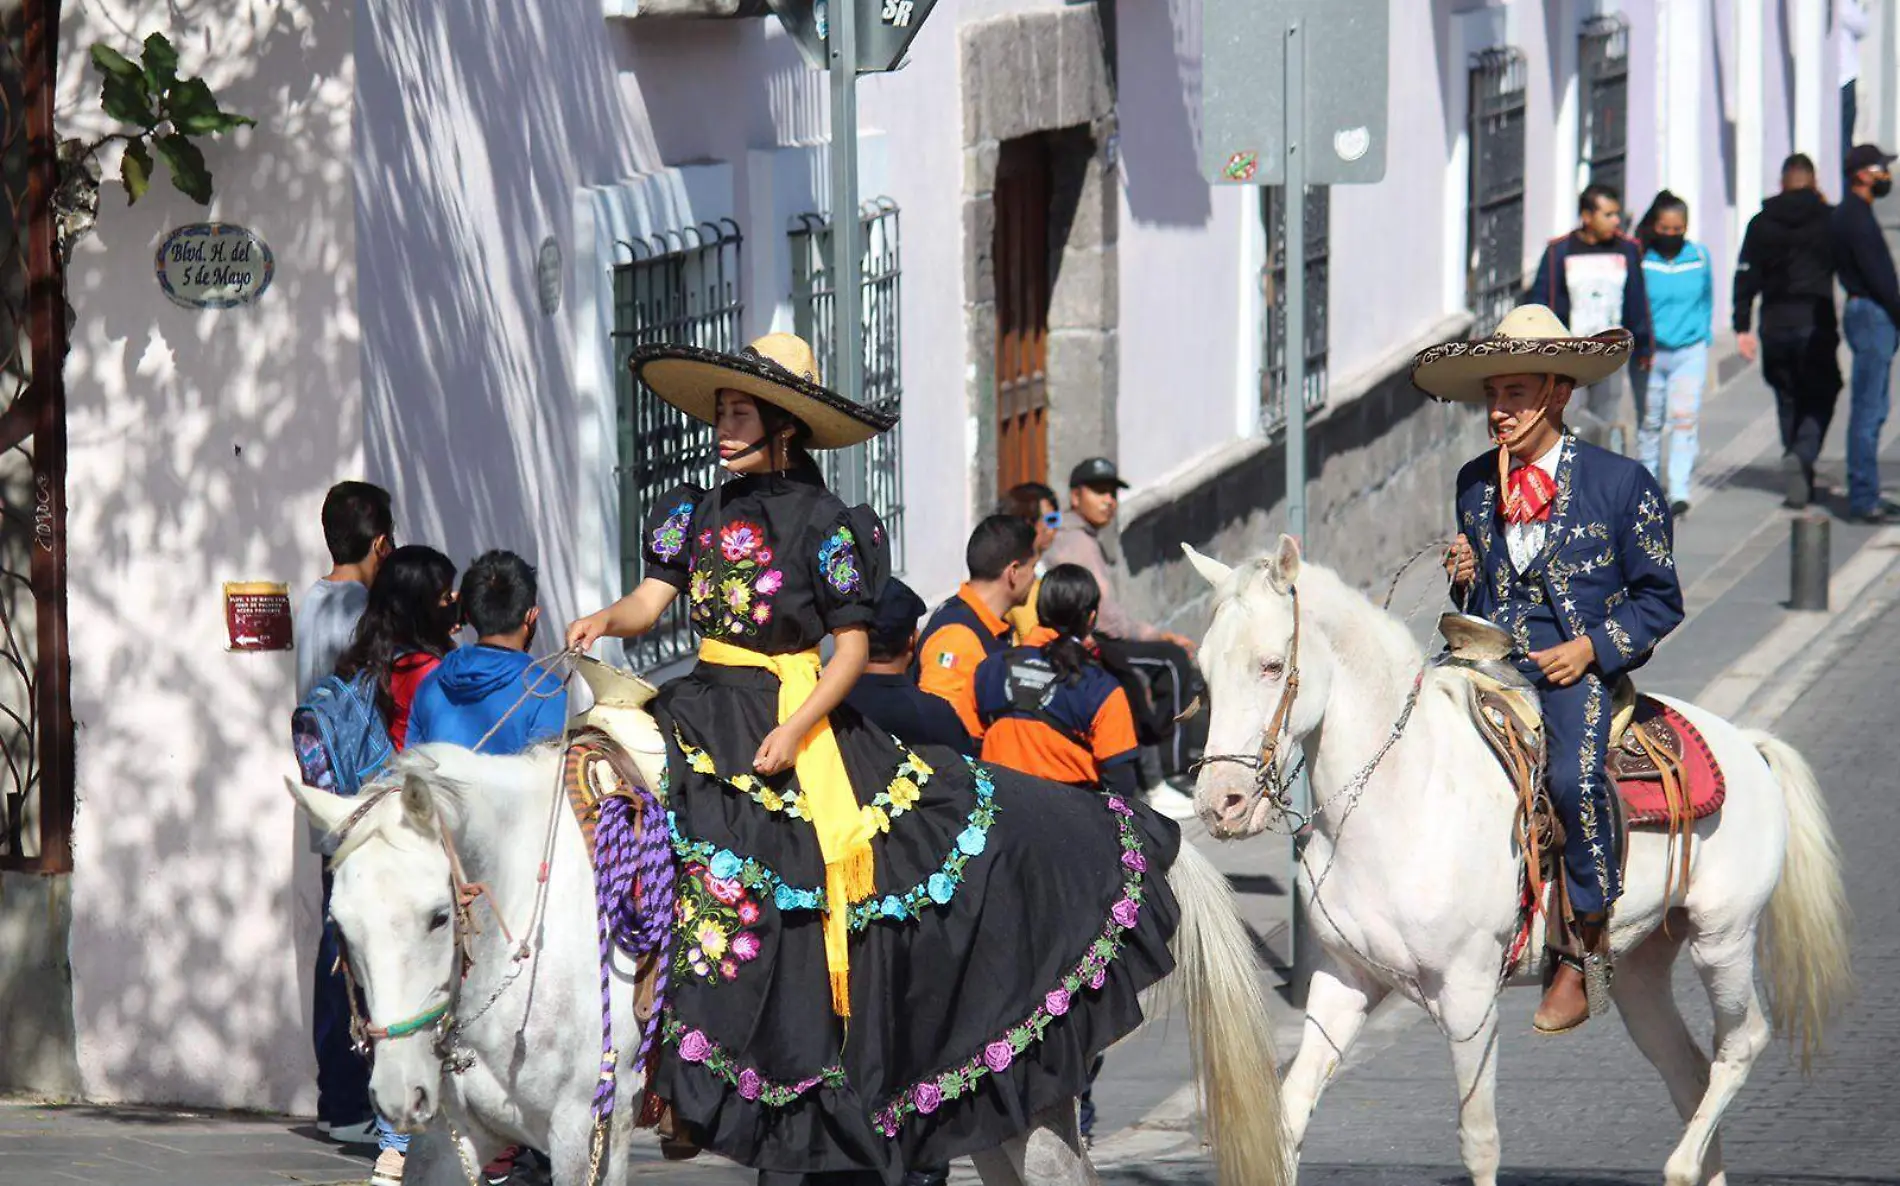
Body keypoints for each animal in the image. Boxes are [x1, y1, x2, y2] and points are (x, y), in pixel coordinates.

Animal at [285, 714, 1292, 1186]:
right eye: (341, 927)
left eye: (435, 918)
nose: (396, 1096)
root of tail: (1121, 821)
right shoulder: (461, 1143)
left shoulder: (586, 1134)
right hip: (997, 1103)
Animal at [1178, 535, 1846, 1186]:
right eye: (1203, 676)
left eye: (1270, 665)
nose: (1220, 804)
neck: (1400, 798)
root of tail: (1747, 745)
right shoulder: (1345, 981)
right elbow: (1288, 1122)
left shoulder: (1469, 998)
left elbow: (1479, 1143)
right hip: (1639, 969)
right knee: (1690, 1073)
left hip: (1722, 938)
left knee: (1742, 1043)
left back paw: (1681, 1162)